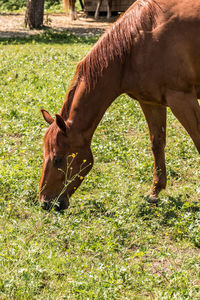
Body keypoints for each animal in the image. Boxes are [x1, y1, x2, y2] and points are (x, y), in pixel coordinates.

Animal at [39, 0, 200, 210]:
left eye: (58, 159)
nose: (45, 202)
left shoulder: (182, 99)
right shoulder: (151, 102)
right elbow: (157, 143)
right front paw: (155, 192)